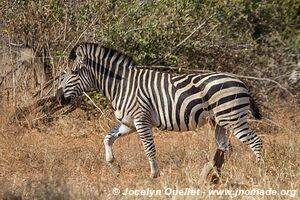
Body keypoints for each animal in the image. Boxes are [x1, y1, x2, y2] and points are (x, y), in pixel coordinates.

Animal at [55, 42, 262, 178]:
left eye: (73, 73)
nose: (58, 97)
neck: (121, 86)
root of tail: (241, 81)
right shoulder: (128, 123)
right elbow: (107, 138)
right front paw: (114, 167)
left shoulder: (141, 120)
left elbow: (149, 148)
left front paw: (154, 175)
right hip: (220, 122)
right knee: (226, 148)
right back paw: (217, 174)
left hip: (234, 118)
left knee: (256, 142)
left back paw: (260, 171)